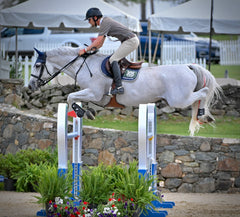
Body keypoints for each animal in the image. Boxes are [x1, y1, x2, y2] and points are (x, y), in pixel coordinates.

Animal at [29, 46, 222, 136]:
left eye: (37, 65)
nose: (30, 86)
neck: (85, 66)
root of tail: (188, 66)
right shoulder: (98, 97)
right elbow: (77, 98)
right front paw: (89, 112)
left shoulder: (95, 92)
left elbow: (70, 96)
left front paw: (81, 112)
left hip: (179, 100)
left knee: (204, 92)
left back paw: (204, 114)